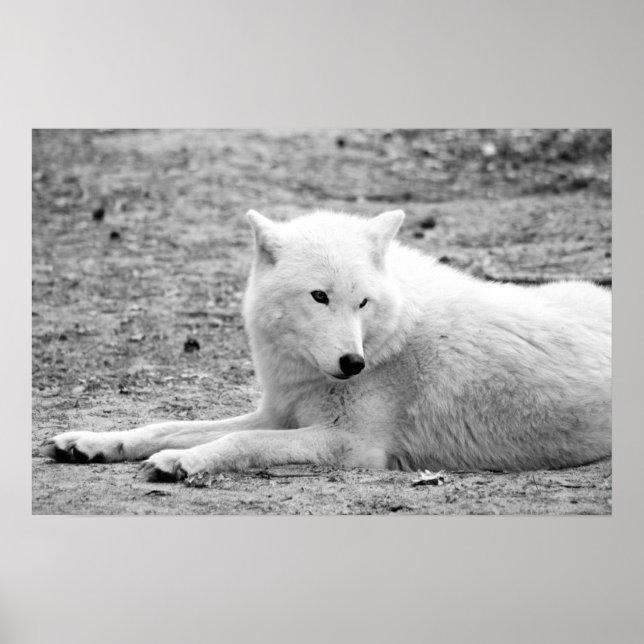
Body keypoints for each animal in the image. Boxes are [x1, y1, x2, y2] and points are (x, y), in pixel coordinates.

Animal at [41, 209, 611, 481]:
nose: (353, 363)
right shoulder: (278, 414)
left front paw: (183, 463)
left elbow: (238, 442)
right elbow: (163, 425)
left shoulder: (350, 445)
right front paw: (91, 442)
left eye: (362, 302)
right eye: (320, 296)